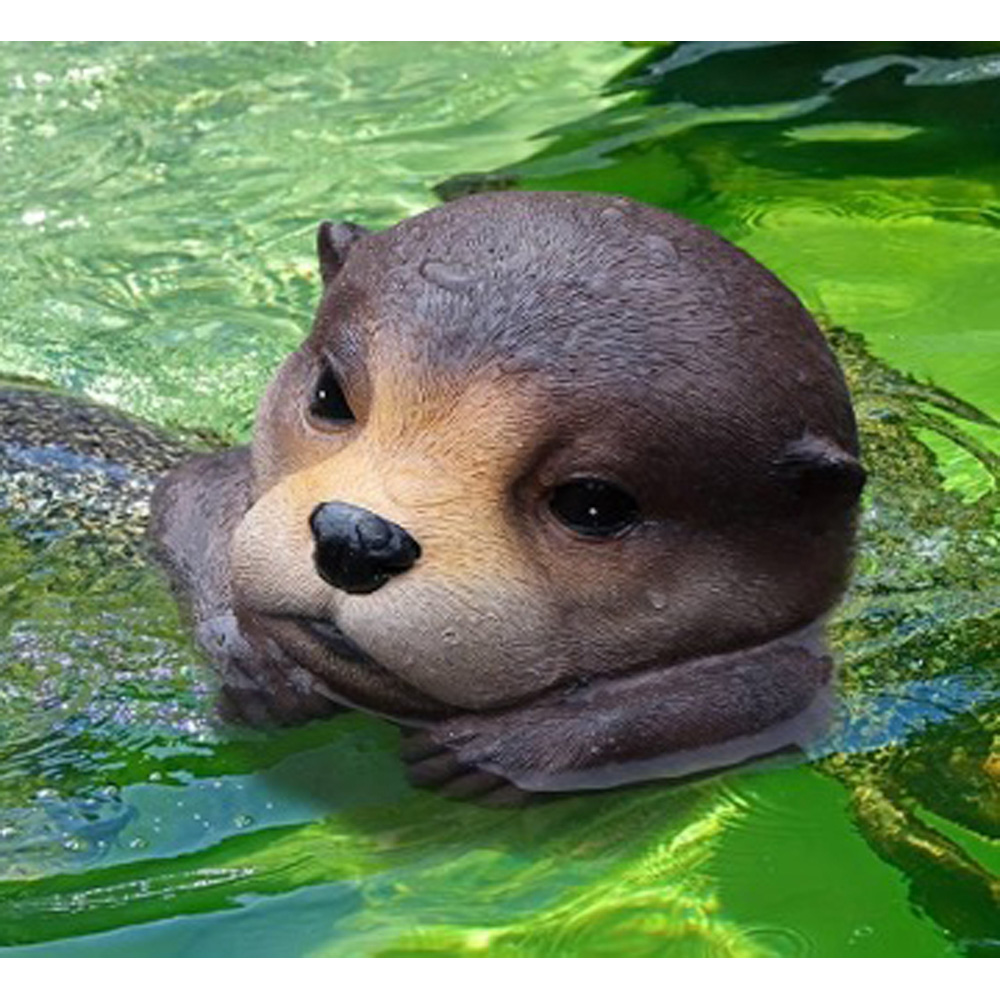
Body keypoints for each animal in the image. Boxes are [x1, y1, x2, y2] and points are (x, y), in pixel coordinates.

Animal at [150, 192, 865, 800]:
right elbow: (187, 505)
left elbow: (769, 693)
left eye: (593, 504)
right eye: (329, 395)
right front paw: (260, 654)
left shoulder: (797, 673)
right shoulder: (200, 486)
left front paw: (514, 748)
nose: (356, 536)